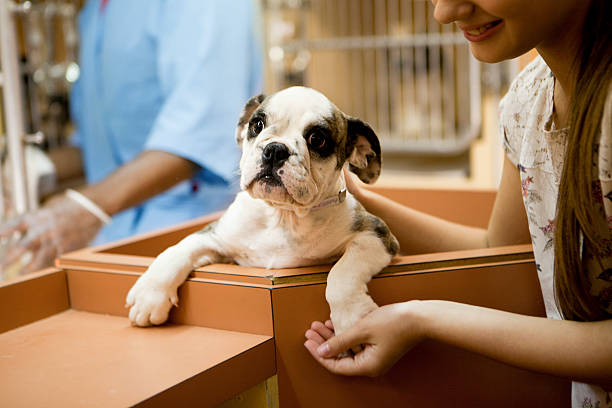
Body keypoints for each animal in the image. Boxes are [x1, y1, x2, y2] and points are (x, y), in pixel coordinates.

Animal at [126, 85, 400, 334]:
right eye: (257, 124)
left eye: (317, 139)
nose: (275, 149)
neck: (282, 215)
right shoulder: (216, 237)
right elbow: (176, 251)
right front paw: (149, 294)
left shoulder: (375, 235)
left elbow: (341, 274)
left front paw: (353, 318)